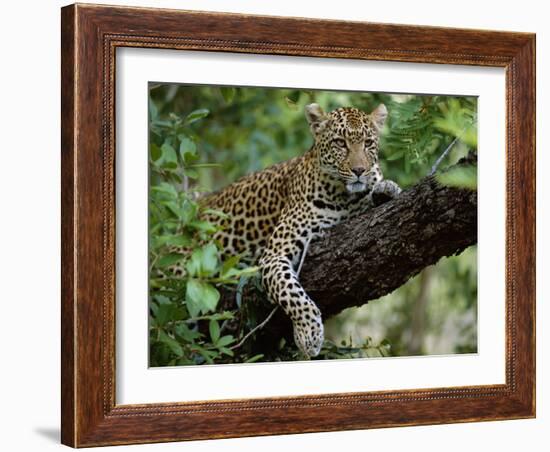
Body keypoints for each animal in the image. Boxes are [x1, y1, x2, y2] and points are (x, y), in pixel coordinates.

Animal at [179, 104, 404, 358]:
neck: (345, 197)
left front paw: (385, 189)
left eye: (368, 143)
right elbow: (292, 293)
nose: (359, 170)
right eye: (340, 143)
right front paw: (309, 334)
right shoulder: (274, 255)